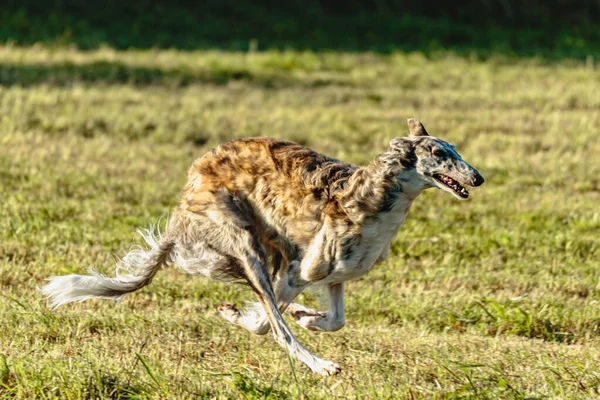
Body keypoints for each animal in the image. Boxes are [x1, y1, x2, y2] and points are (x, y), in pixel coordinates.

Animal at [41, 118, 482, 376]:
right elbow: (268, 323)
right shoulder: (300, 270)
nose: (478, 178)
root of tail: (185, 201)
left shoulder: (334, 275)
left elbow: (335, 319)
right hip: (247, 244)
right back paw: (320, 364)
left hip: (264, 251)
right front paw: (276, 320)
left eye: (456, 150)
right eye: (439, 152)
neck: (372, 198)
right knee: (274, 322)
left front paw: (310, 317)